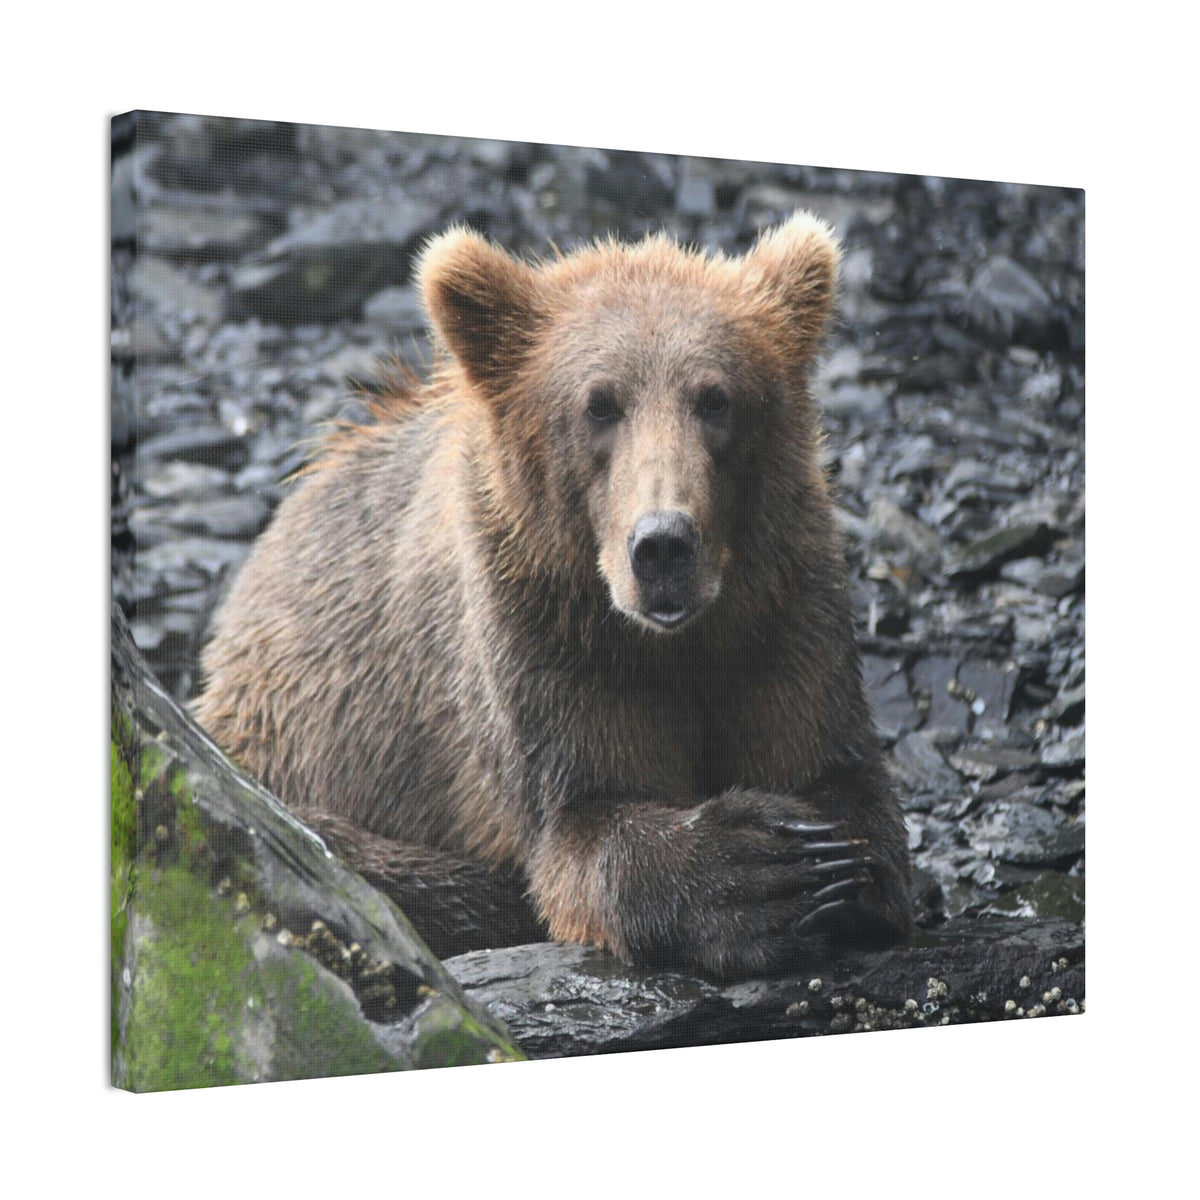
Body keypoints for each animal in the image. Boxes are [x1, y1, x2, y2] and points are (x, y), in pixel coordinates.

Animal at [194, 211, 913, 978]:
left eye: (716, 398)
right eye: (599, 404)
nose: (663, 545)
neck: (673, 643)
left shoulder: (782, 608)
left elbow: (836, 772)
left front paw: (830, 864)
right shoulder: (539, 634)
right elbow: (583, 821)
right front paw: (758, 870)